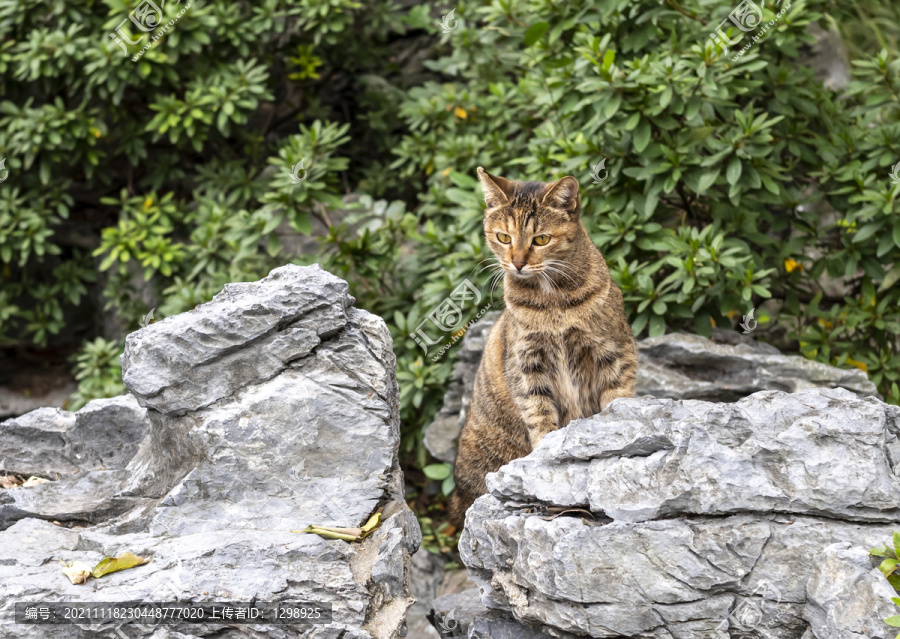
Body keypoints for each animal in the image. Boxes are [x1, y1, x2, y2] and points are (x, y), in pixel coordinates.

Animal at [448, 168, 632, 528]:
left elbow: (617, 399)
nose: (517, 263)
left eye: (541, 240)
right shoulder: (526, 364)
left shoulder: (613, 351)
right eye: (504, 237)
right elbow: (540, 414)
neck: (553, 303)